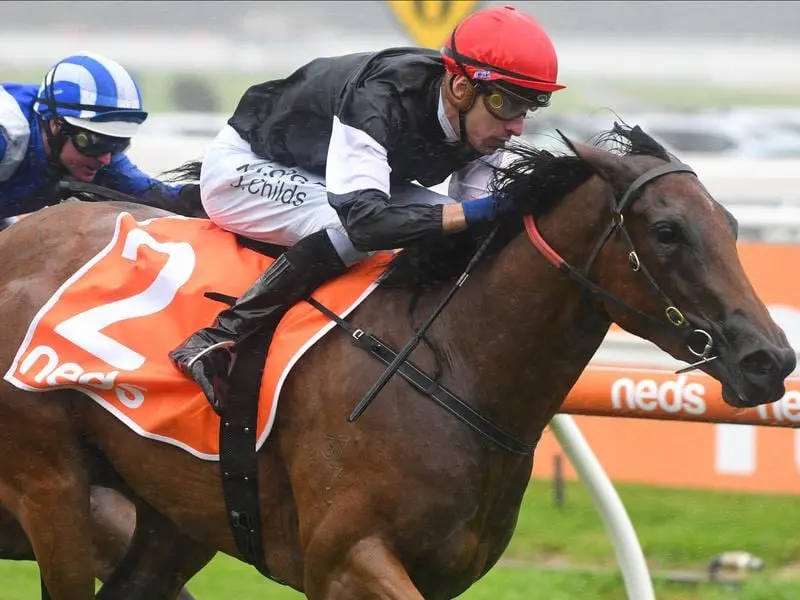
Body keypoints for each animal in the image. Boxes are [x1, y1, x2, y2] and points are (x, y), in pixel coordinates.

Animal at [0, 124, 792, 596]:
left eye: (731, 223)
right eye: (666, 231)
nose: (770, 359)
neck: (456, 368)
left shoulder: (443, 574)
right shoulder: (346, 560)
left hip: (175, 513)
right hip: (53, 487)